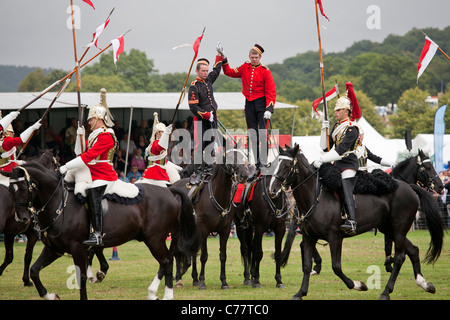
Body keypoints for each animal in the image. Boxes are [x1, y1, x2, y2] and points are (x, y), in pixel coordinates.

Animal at [2, 162, 199, 300]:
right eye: (10, 189)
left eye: (23, 188)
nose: (22, 219)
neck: (60, 203)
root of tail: (169, 191)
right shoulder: (54, 249)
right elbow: (34, 271)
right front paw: (50, 295)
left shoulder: (77, 249)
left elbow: (81, 277)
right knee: (167, 261)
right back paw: (156, 293)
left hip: (155, 239)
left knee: (166, 261)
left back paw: (162, 294)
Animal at [172, 148, 250, 290]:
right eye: (230, 158)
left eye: (243, 157)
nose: (244, 175)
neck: (217, 195)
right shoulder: (203, 230)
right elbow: (204, 256)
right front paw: (202, 282)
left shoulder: (225, 231)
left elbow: (223, 256)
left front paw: (224, 282)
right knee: (178, 252)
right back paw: (179, 279)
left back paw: (194, 278)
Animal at [268, 145, 444, 300]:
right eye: (275, 164)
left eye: (287, 165)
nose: (272, 189)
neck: (316, 196)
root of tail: (409, 186)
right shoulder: (309, 237)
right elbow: (306, 265)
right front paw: (301, 292)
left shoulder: (335, 237)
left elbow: (336, 267)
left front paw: (358, 285)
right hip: (390, 229)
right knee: (413, 250)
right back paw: (424, 284)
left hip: (398, 229)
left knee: (401, 256)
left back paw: (386, 291)